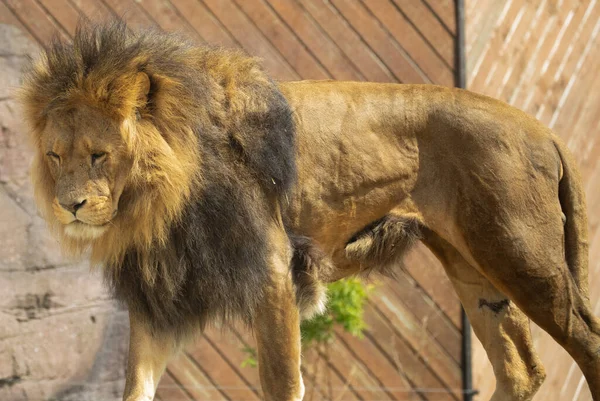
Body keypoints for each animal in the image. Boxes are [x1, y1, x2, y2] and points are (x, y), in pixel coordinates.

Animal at [21, 21, 596, 400]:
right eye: (55, 156)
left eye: (99, 155)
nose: (69, 206)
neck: (159, 201)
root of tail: (543, 130)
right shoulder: (160, 297)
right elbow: (136, 384)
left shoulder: (274, 270)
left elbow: (280, 381)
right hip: (475, 270)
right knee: (520, 372)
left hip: (524, 259)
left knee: (587, 345)